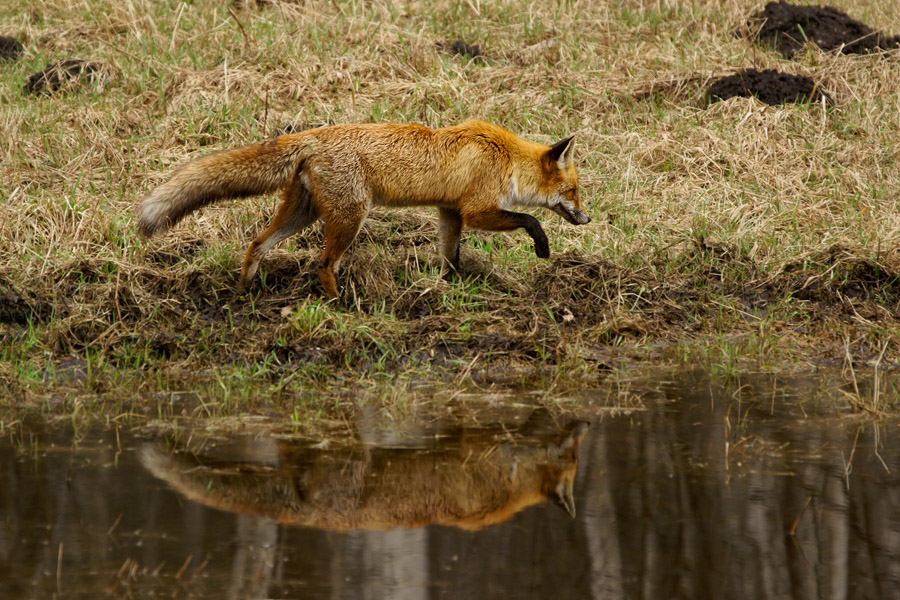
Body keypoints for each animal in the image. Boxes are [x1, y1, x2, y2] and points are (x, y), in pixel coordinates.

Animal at [137, 119, 588, 298]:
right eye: (574, 191)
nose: (588, 218)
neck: (506, 158)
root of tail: (312, 135)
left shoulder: (449, 212)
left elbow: (450, 258)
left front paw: (448, 289)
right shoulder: (475, 210)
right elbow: (529, 217)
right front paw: (543, 246)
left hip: (303, 214)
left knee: (257, 244)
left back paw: (244, 291)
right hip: (350, 218)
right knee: (323, 263)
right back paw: (340, 306)